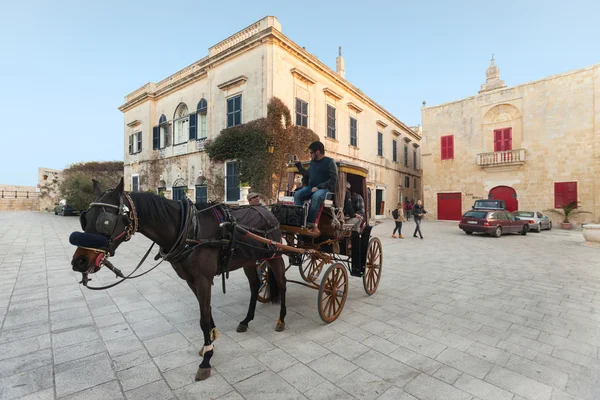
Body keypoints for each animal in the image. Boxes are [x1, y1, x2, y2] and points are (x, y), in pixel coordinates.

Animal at [69, 178, 288, 382]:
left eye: (105, 222)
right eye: (85, 218)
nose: (79, 262)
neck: (189, 229)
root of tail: (267, 210)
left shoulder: (203, 280)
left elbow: (203, 319)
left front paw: (206, 360)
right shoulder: (191, 280)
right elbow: (207, 314)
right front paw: (209, 344)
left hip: (274, 255)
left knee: (282, 284)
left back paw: (281, 319)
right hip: (248, 259)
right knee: (254, 286)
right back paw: (246, 320)